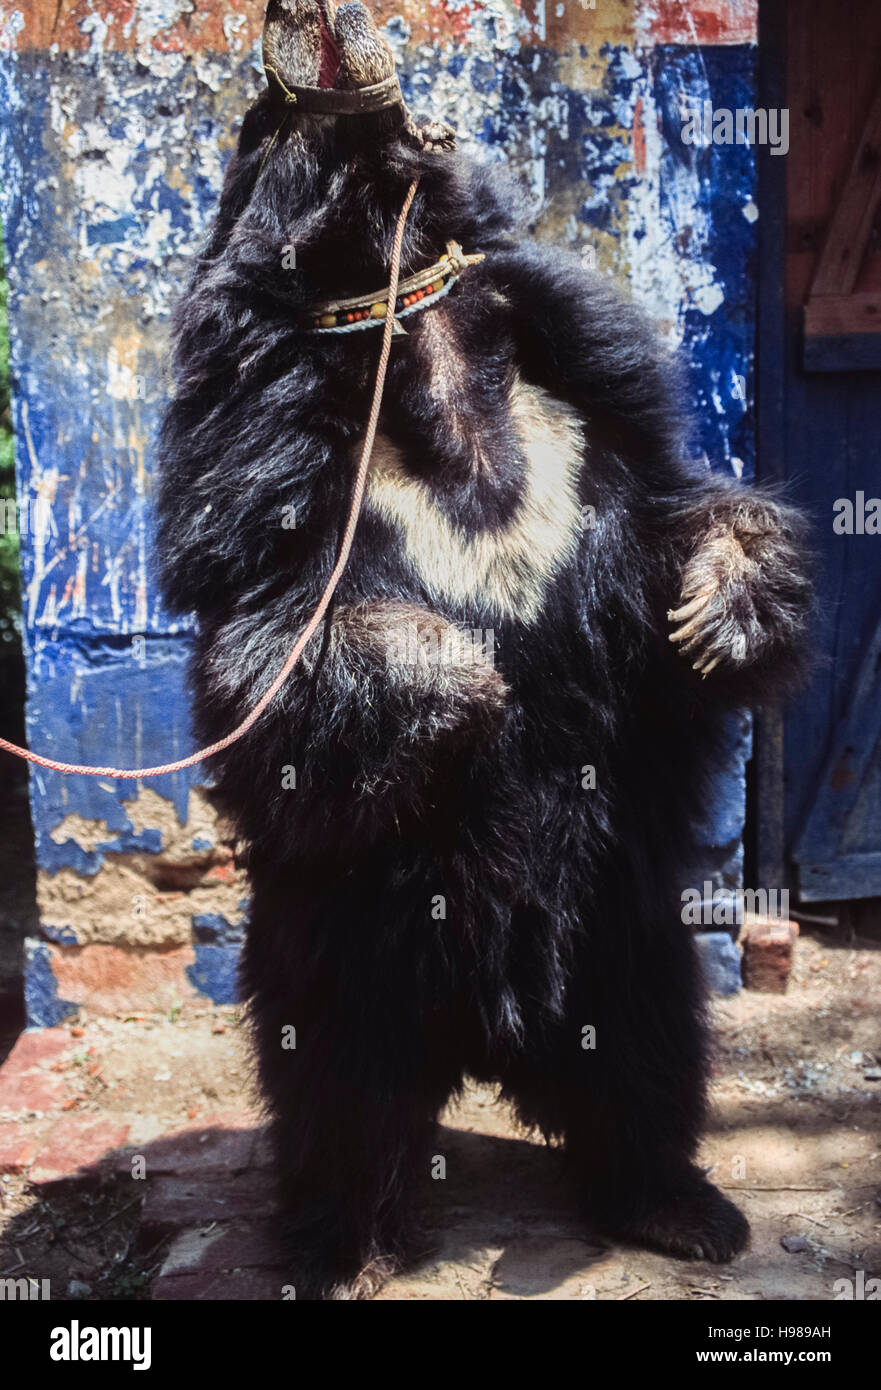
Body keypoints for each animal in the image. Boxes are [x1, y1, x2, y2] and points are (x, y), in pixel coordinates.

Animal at [154, 2, 805, 1301]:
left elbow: (669, 528)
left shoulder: (591, 408)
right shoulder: (254, 469)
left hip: (623, 926)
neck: (405, 318)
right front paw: (459, 677)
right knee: (337, 1092)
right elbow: (266, 652)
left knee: (648, 1049)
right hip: (340, 958)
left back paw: (678, 1207)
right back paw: (347, 1244)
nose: (310, 11)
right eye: (265, 111)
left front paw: (719, 610)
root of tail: (492, 1035)